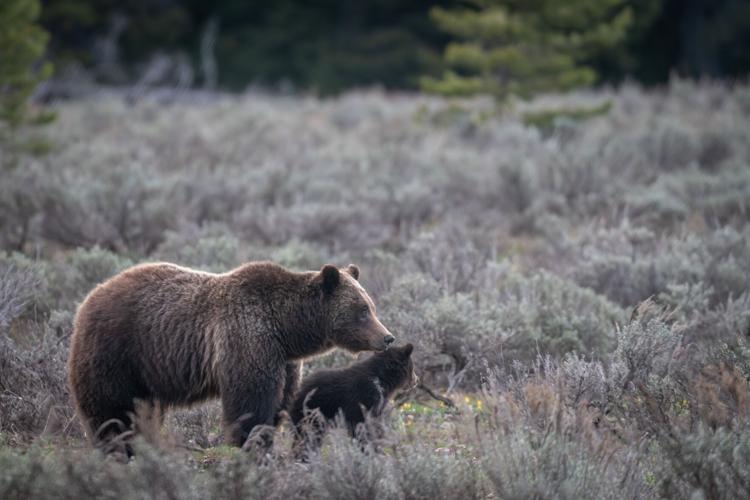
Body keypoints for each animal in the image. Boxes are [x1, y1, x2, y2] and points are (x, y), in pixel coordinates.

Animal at [65, 262, 396, 454]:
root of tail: (89, 297)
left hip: (146, 371)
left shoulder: (284, 360)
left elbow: (279, 402)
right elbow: (250, 401)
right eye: (362, 310)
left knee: (141, 410)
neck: (287, 328)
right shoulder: (248, 338)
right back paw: (117, 448)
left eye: (370, 305)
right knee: (111, 409)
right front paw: (251, 446)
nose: (387, 337)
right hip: (117, 351)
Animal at [290, 342, 418, 452]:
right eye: (412, 367)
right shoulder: (364, 397)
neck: (382, 380)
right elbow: (361, 426)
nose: (416, 380)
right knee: (309, 435)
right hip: (313, 411)